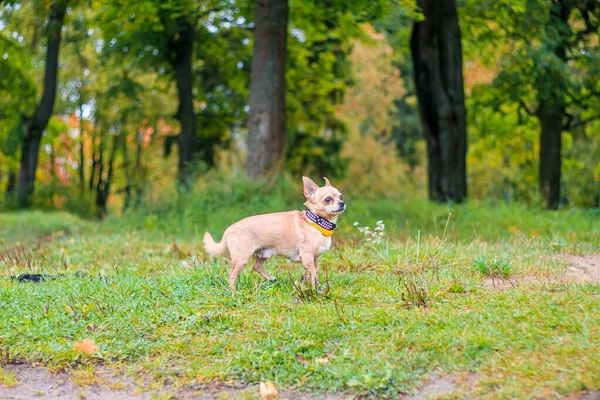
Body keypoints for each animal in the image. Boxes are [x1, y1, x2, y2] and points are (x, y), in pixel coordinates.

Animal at [205, 177, 346, 292]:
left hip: (265, 253)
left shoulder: (314, 260)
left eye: (341, 196)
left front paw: (311, 286)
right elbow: (312, 275)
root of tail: (230, 228)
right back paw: (234, 292)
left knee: (256, 267)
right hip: (241, 259)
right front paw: (314, 291)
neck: (316, 222)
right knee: (232, 275)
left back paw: (271, 278)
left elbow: (313, 272)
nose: (342, 203)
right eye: (328, 199)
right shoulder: (307, 258)